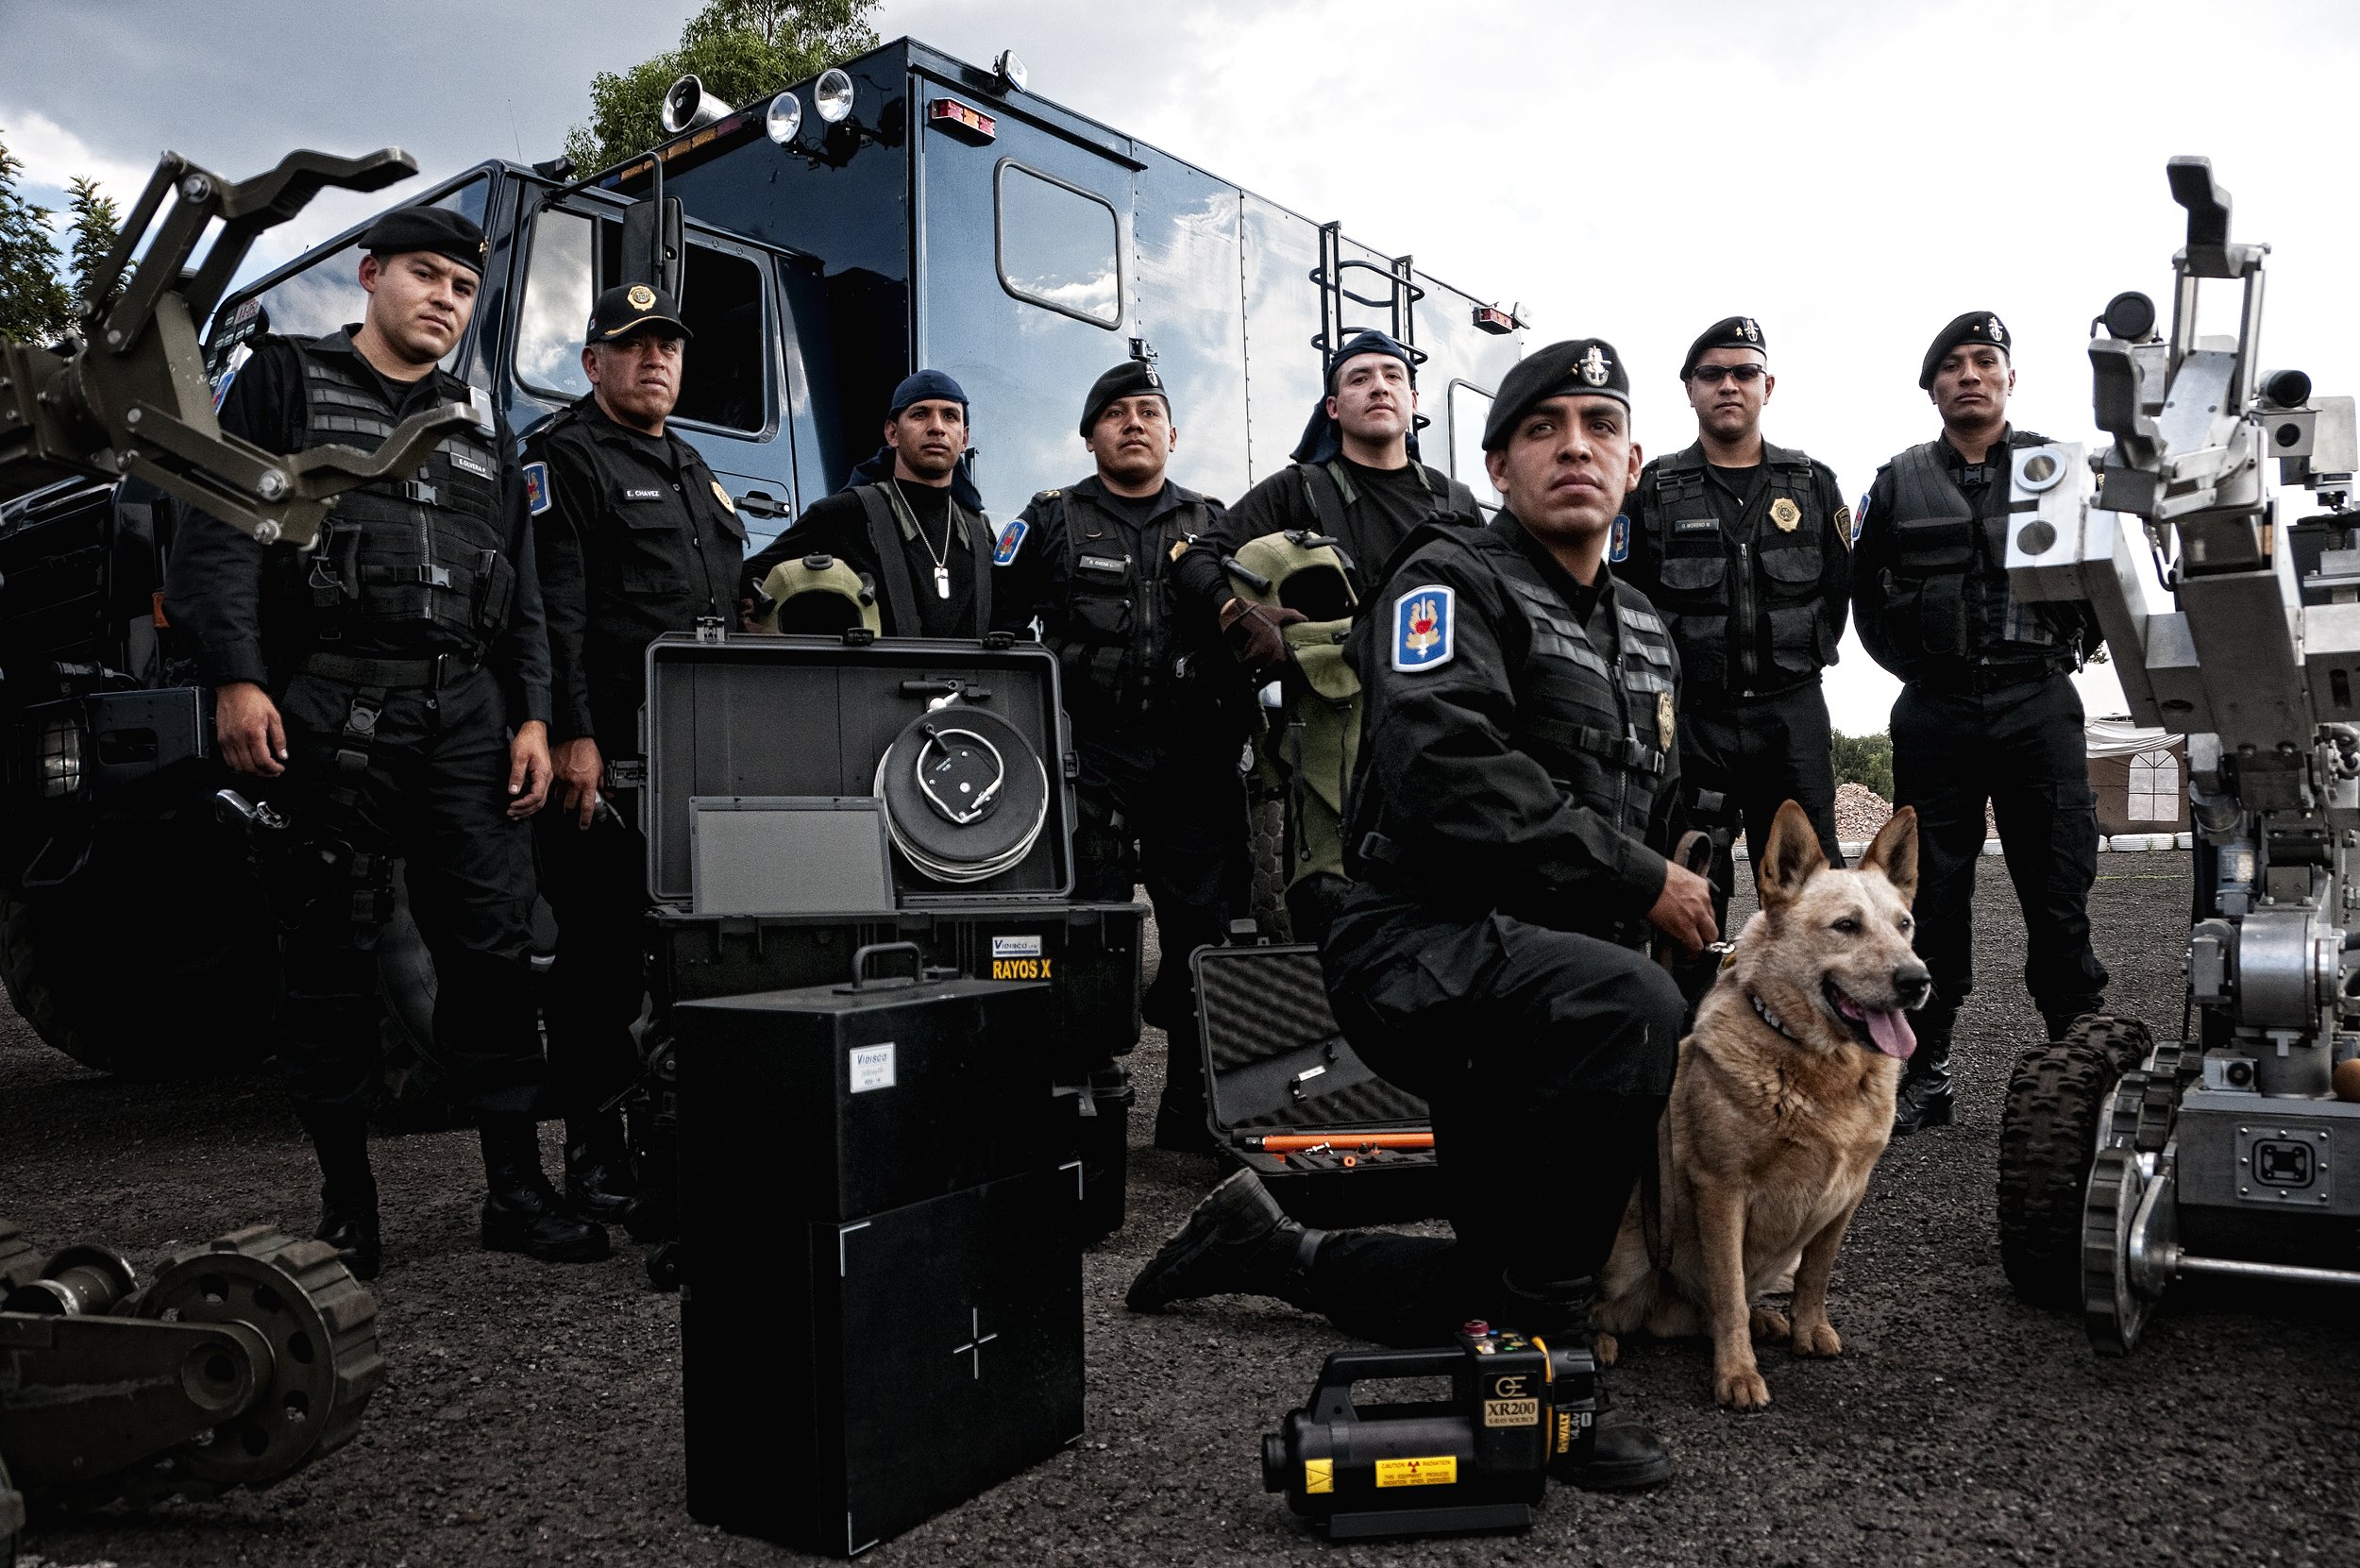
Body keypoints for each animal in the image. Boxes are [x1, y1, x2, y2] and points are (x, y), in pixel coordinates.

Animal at [1595, 807, 1926, 1407]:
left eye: (1905, 925)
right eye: (1847, 926)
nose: (1918, 981)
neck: (1819, 1068)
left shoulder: (1848, 1195)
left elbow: (1814, 1276)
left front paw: (1806, 1329)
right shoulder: (1721, 1189)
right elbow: (1727, 1288)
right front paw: (1737, 1373)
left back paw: (1764, 1320)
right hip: (1626, 1246)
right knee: (1612, 1303)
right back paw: (1599, 1339)